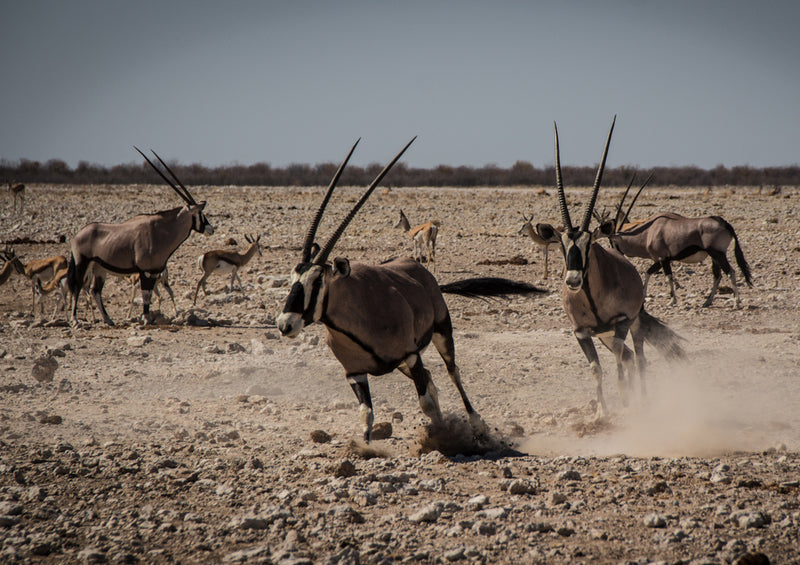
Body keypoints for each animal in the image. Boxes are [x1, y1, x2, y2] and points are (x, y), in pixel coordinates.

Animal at [276, 137, 544, 440]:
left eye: (318, 280)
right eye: (292, 278)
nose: (285, 324)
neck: (358, 315)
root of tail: (423, 273)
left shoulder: (411, 356)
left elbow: (425, 403)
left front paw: (441, 437)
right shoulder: (356, 374)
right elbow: (366, 416)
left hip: (441, 334)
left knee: (452, 373)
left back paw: (476, 423)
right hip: (405, 363)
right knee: (432, 380)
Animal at [536, 118, 684, 418]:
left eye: (589, 243)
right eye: (561, 244)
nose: (573, 280)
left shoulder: (622, 321)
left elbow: (619, 353)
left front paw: (626, 396)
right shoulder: (582, 333)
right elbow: (596, 368)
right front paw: (601, 412)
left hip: (635, 324)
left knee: (638, 357)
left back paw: (643, 400)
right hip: (602, 334)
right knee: (628, 355)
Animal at [596, 177, 752, 308]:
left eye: (611, 240)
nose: (616, 253)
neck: (648, 232)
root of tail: (725, 223)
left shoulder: (663, 258)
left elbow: (668, 277)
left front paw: (672, 300)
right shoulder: (660, 260)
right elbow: (648, 272)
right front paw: (644, 297)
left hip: (718, 253)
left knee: (730, 272)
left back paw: (736, 303)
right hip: (714, 256)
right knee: (717, 275)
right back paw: (707, 302)